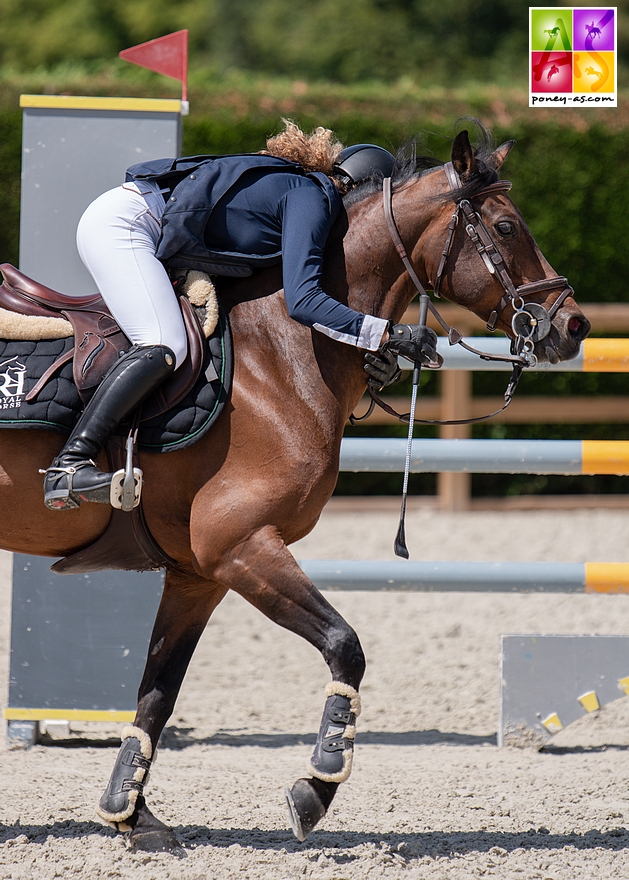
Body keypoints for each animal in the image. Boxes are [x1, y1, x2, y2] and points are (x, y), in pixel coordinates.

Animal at [0, 127, 588, 848]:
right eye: (506, 226)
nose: (573, 326)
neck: (283, 353)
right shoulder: (241, 544)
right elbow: (345, 647)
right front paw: (319, 782)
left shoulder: (200, 572)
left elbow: (157, 694)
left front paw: (130, 814)